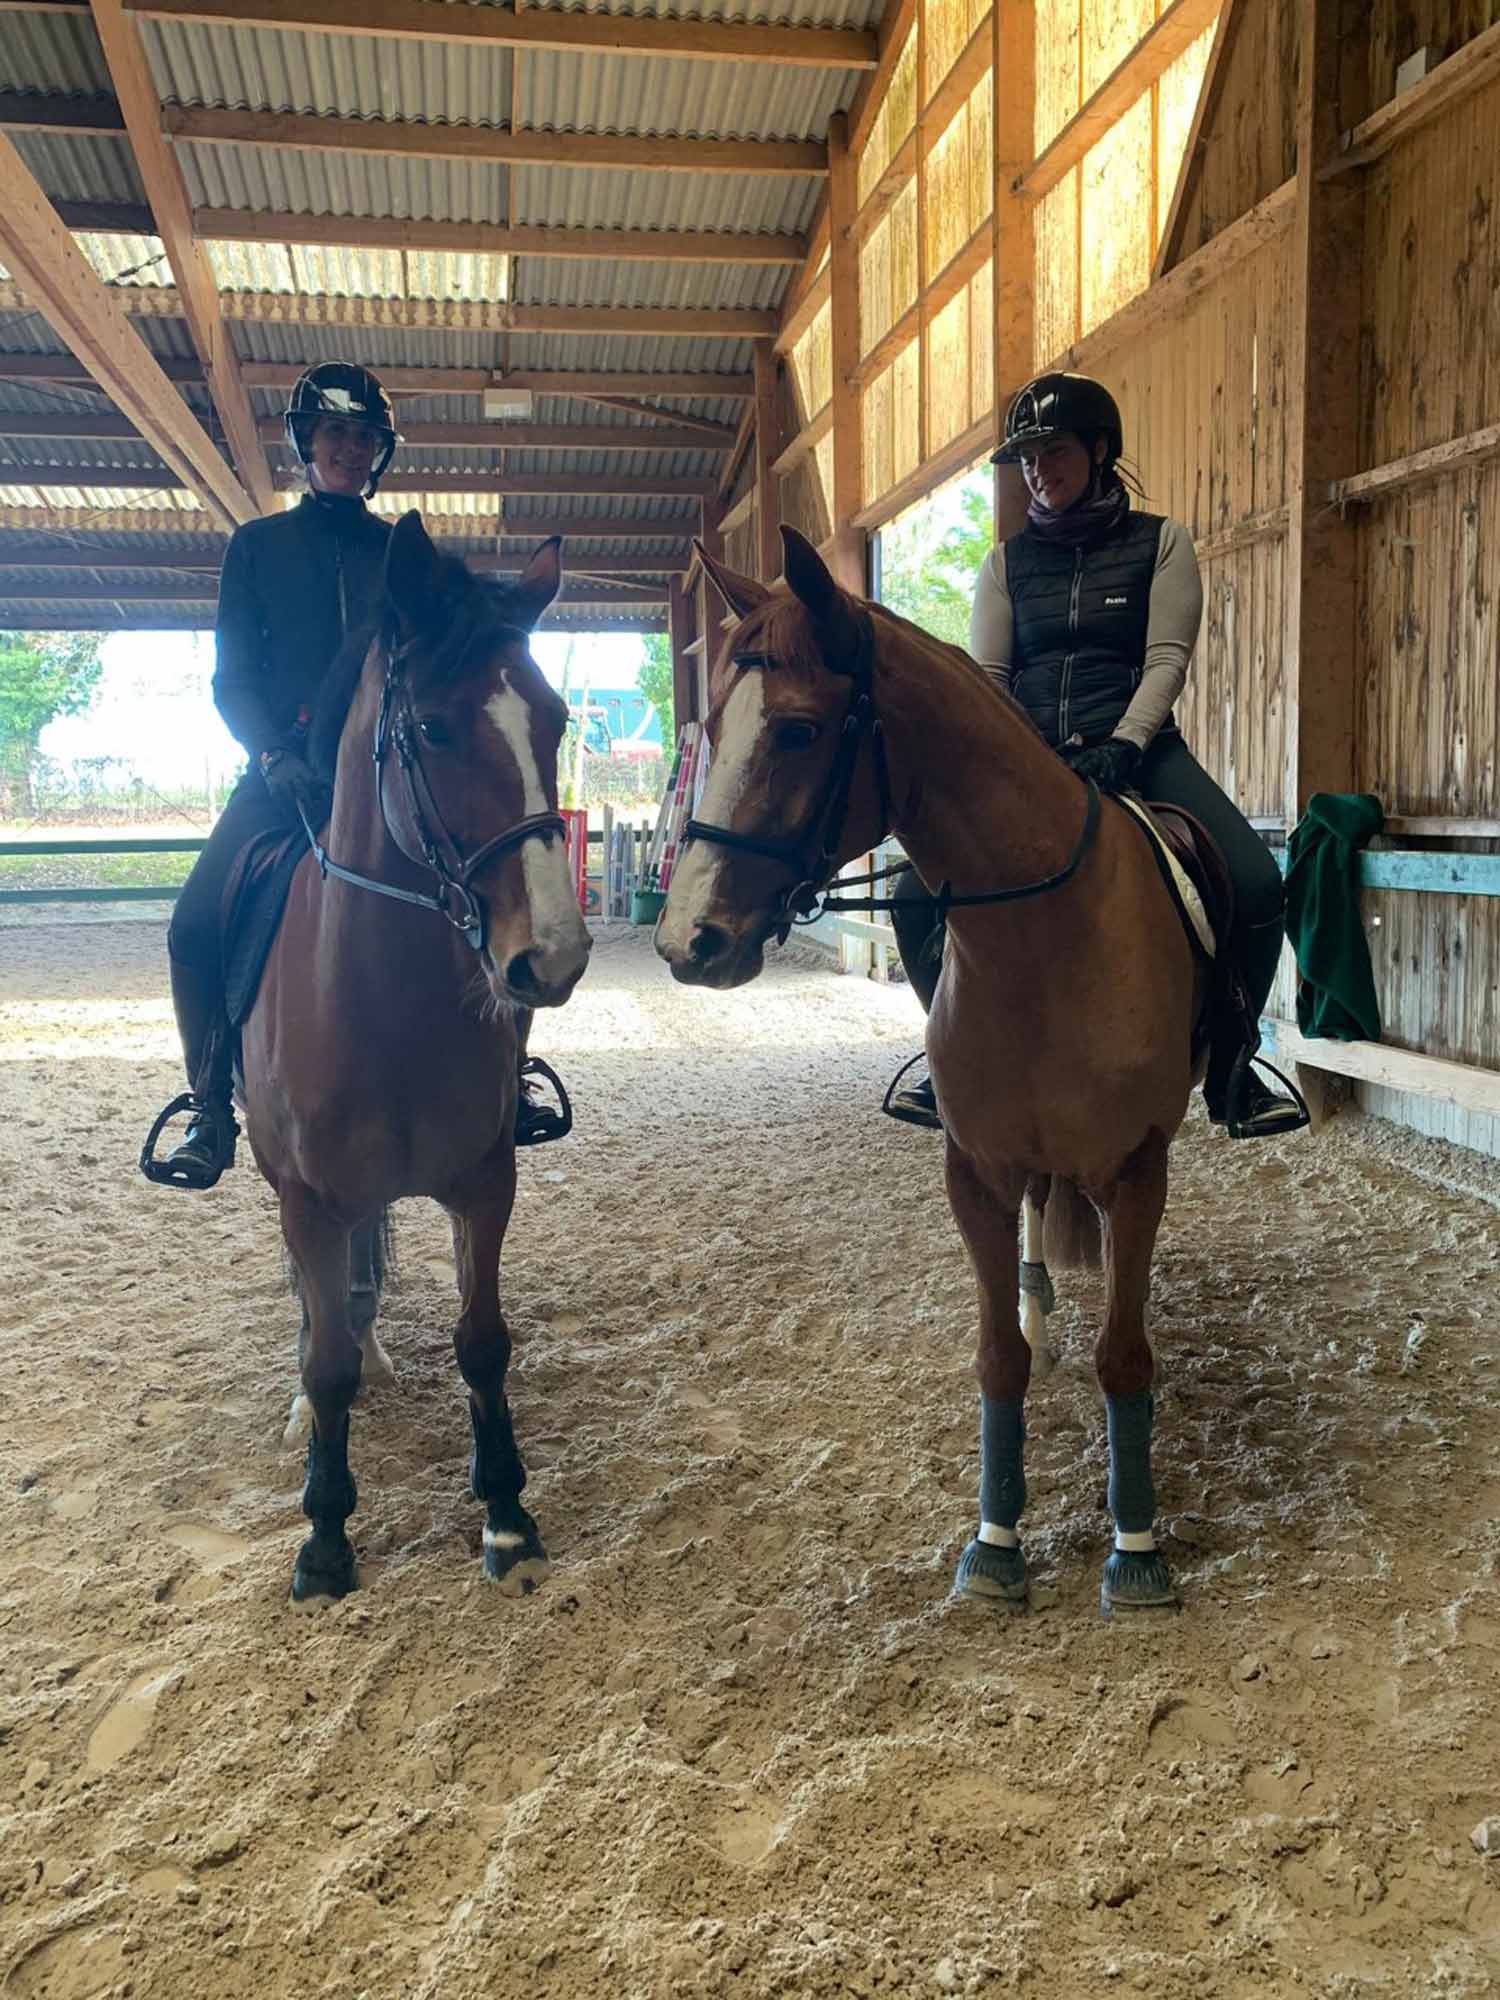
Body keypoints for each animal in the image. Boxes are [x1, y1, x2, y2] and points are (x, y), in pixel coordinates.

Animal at [242, 520, 592, 1608]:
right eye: (433, 731)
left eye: (557, 721)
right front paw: (323, 1538)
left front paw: (508, 1515)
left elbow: (483, 1341)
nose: (551, 957)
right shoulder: (309, 1199)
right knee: (322, 1317)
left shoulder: (483, 1179)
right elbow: (324, 1360)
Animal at [664, 528, 1208, 1608]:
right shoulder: (975, 1166)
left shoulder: (1138, 1169)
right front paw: (995, 1540)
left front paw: (1136, 1546)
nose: (686, 939)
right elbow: (998, 1358)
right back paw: (1040, 1301)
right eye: (709, 723)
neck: (1045, 939)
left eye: (798, 731)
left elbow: (1126, 1357)